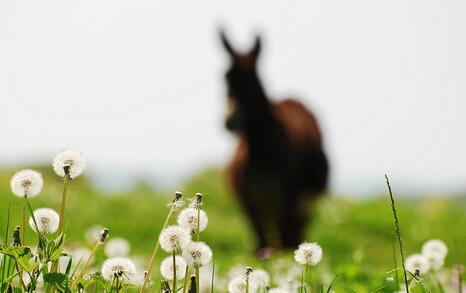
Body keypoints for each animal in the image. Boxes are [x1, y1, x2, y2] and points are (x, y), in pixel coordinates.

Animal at [219, 30, 326, 252]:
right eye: (225, 78)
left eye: (252, 80)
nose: (229, 121)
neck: (261, 150)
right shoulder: (250, 204)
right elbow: (260, 245)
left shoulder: (290, 201)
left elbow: (285, 243)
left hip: (301, 206)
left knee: (293, 237)